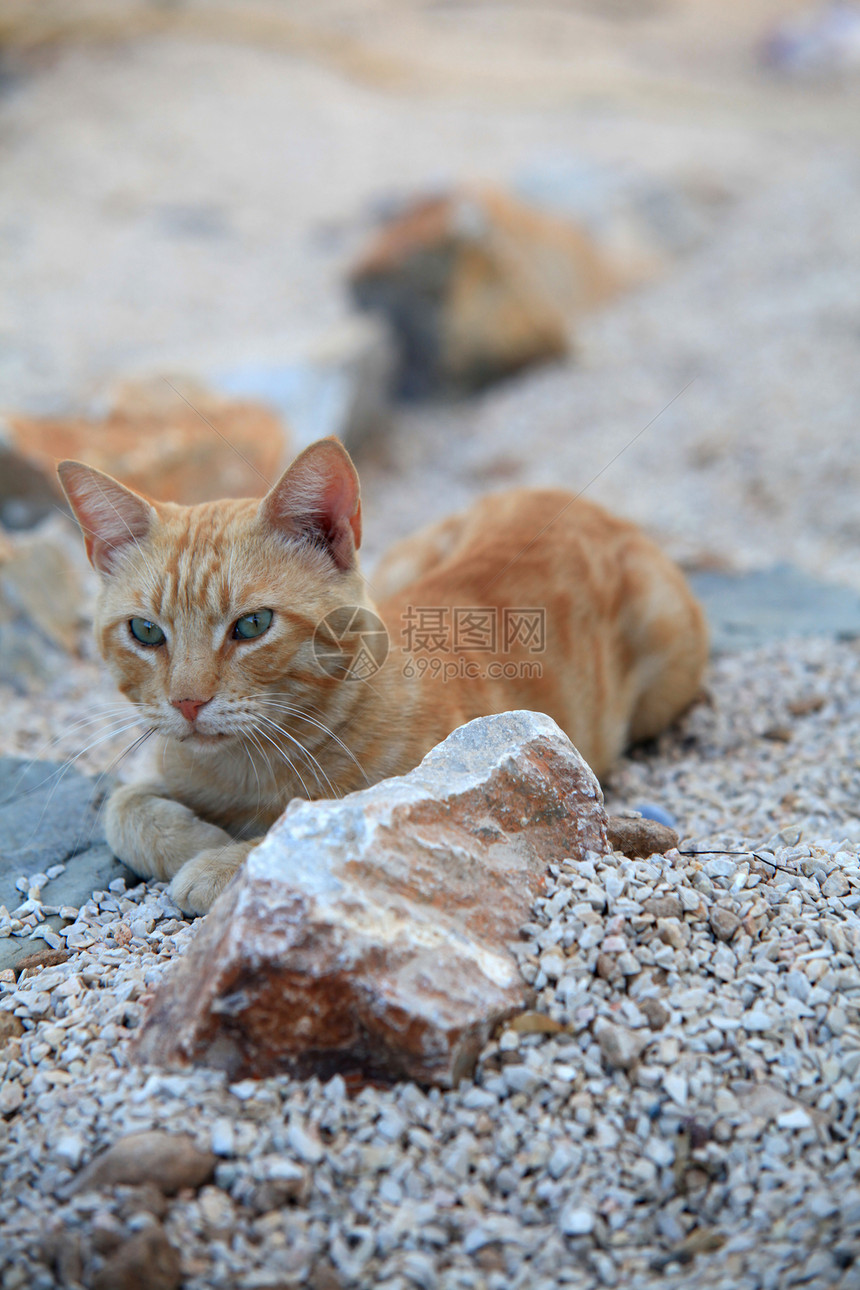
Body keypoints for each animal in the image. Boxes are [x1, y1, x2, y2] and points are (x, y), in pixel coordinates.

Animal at [58, 438, 706, 913]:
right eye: (145, 632)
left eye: (252, 625)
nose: (188, 702)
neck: (248, 772)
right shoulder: (162, 766)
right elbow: (121, 808)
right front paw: (201, 838)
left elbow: (318, 824)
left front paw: (220, 860)